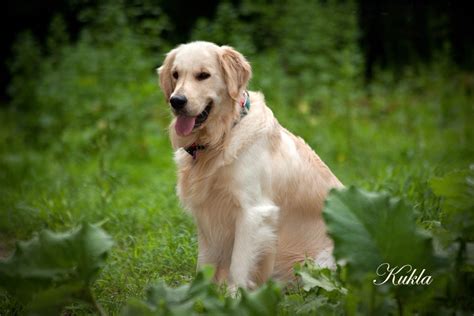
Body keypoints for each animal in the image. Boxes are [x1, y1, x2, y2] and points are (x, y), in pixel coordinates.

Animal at [157, 42, 342, 292]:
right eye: (176, 74)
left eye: (203, 75)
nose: (176, 101)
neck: (221, 138)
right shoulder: (207, 214)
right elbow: (204, 265)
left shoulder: (253, 213)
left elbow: (238, 266)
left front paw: (235, 297)